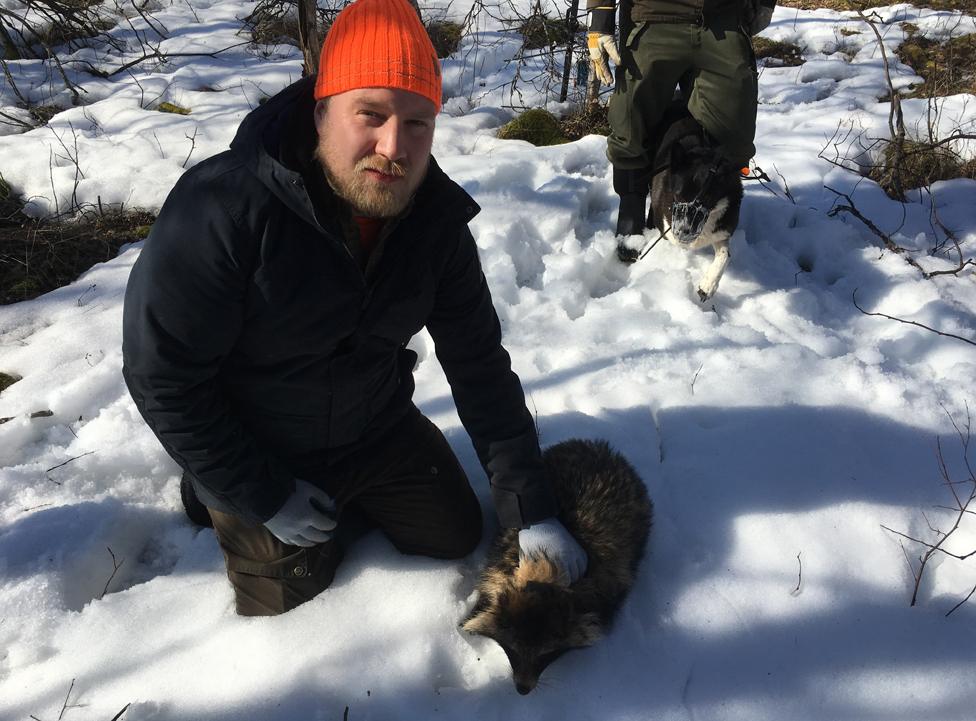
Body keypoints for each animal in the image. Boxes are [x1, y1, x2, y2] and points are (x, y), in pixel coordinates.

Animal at [620, 102, 744, 300]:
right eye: (677, 195)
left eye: (706, 198)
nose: (682, 232)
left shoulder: (722, 232)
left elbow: (725, 255)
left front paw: (708, 285)